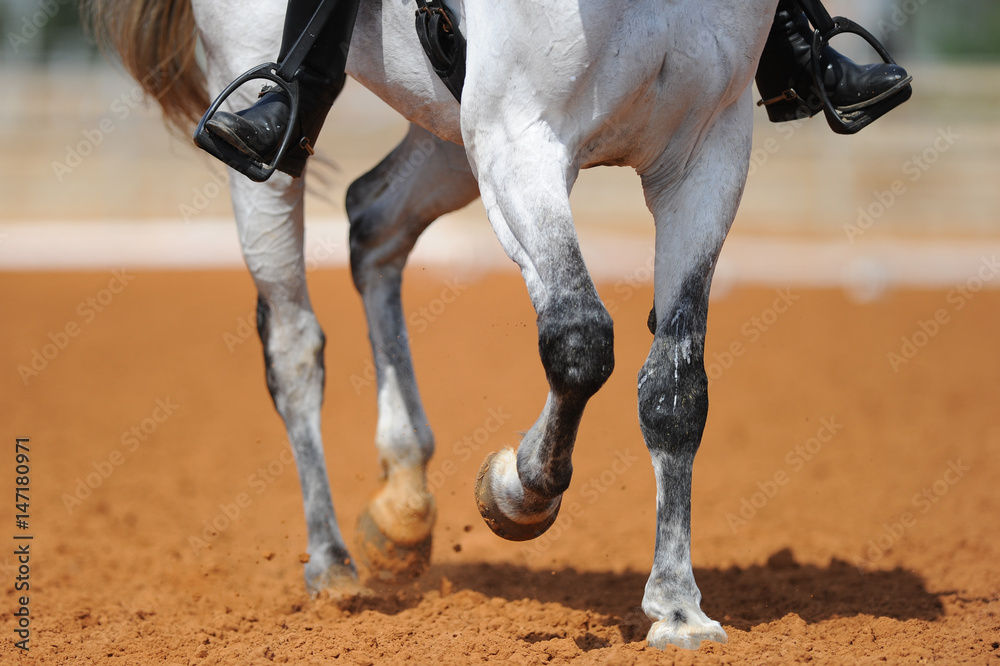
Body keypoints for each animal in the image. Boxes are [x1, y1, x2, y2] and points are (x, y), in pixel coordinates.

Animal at [84, 0, 778, 650]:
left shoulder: (706, 157)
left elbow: (675, 392)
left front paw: (679, 609)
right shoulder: (518, 139)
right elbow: (579, 340)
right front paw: (517, 490)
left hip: (449, 127)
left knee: (373, 220)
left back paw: (403, 506)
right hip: (269, 114)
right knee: (294, 344)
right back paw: (331, 565)